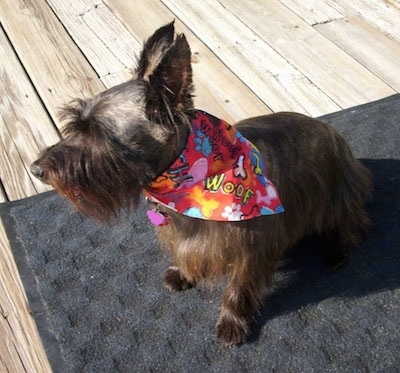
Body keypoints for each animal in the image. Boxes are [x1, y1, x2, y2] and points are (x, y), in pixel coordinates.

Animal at [30, 21, 372, 344]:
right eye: (76, 125)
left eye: (98, 134)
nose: (36, 170)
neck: (186, 183)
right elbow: (184, 256)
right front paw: (182, 275)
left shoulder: (250, 252)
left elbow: (238, 288)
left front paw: (232, 323)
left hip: (339, 197)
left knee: (349, 225)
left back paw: (336, 253)